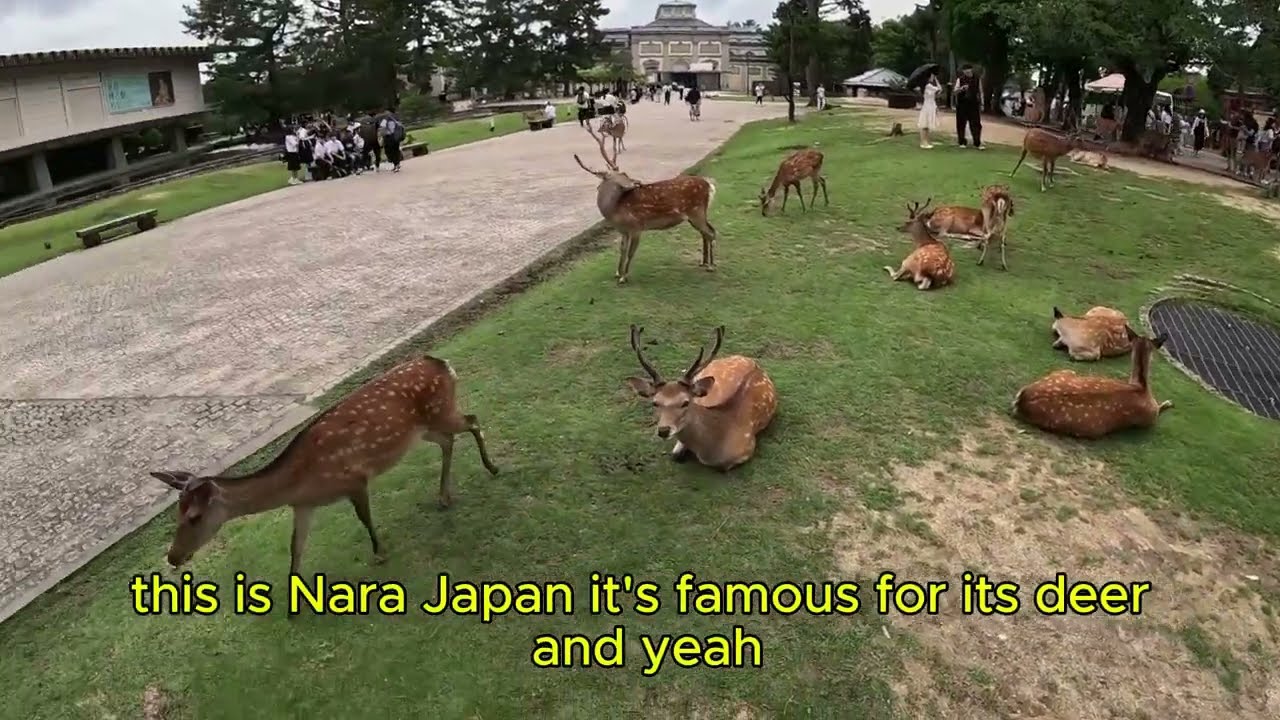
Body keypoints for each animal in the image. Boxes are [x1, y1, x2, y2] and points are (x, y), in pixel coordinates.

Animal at [148, 355, 500, 586]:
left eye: (194, 517)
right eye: (177, 515)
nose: (173, 557)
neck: (302, 481)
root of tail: (442, 363)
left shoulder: (353, 478)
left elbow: (364, 518)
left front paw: (380, 553)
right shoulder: (303, 505)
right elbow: (295, 546)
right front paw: (294, 600)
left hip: (441, 410)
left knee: (472, 420)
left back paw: (491, 467)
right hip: (423, 428)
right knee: (449, 440)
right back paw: (443, 496)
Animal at [573, 123, 718, 285]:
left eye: (624, 173)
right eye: (619, 176)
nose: (637, 182)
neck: (615, 211)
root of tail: (709, 185)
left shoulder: (636, 226)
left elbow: (631, 253)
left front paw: (623, 277)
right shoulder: (623, 231)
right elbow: (622, 250)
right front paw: (617, 273)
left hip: (696, 211)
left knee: (710, 232)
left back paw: (711, 266)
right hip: (696, 214)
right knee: (707, 231)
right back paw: (703, 262)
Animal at [1013, 326, 1173, 439]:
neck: (1141, 386)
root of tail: (1021, 399)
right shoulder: (1150, 418)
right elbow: (1160, 408)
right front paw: (1169, 402)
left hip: (1065, 371)